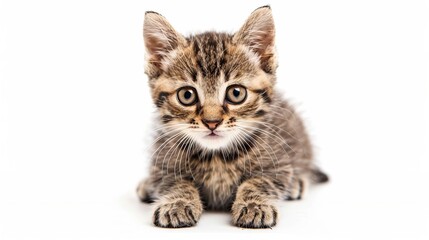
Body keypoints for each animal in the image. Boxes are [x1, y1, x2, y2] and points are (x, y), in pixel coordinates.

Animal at [137, 6, 328, 229]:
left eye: (236, 93)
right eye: (187, 95)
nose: (212, 122)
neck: (217, 157)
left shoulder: (277, 164)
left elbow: (259, 182)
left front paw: (255, 205)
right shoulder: (163, 163)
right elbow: (175, 182)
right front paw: (177, 203)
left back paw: (298, 182)